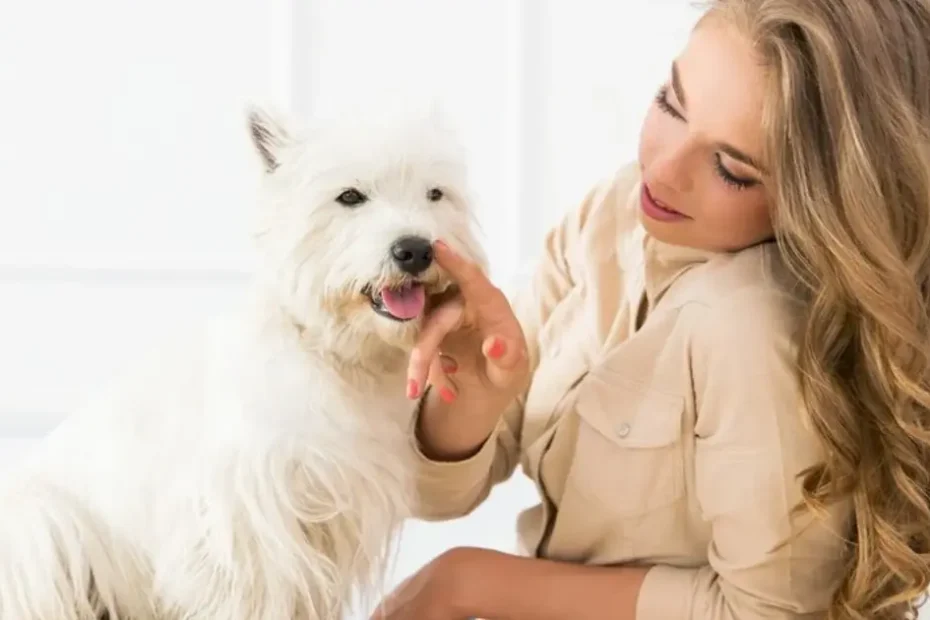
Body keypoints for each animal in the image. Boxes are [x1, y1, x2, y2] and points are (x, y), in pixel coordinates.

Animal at [0, 104, 490, 616]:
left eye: (435, 194)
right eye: (350, 197)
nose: (415, 250)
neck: (333, 356)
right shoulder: (247, 524)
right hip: (40, 527)